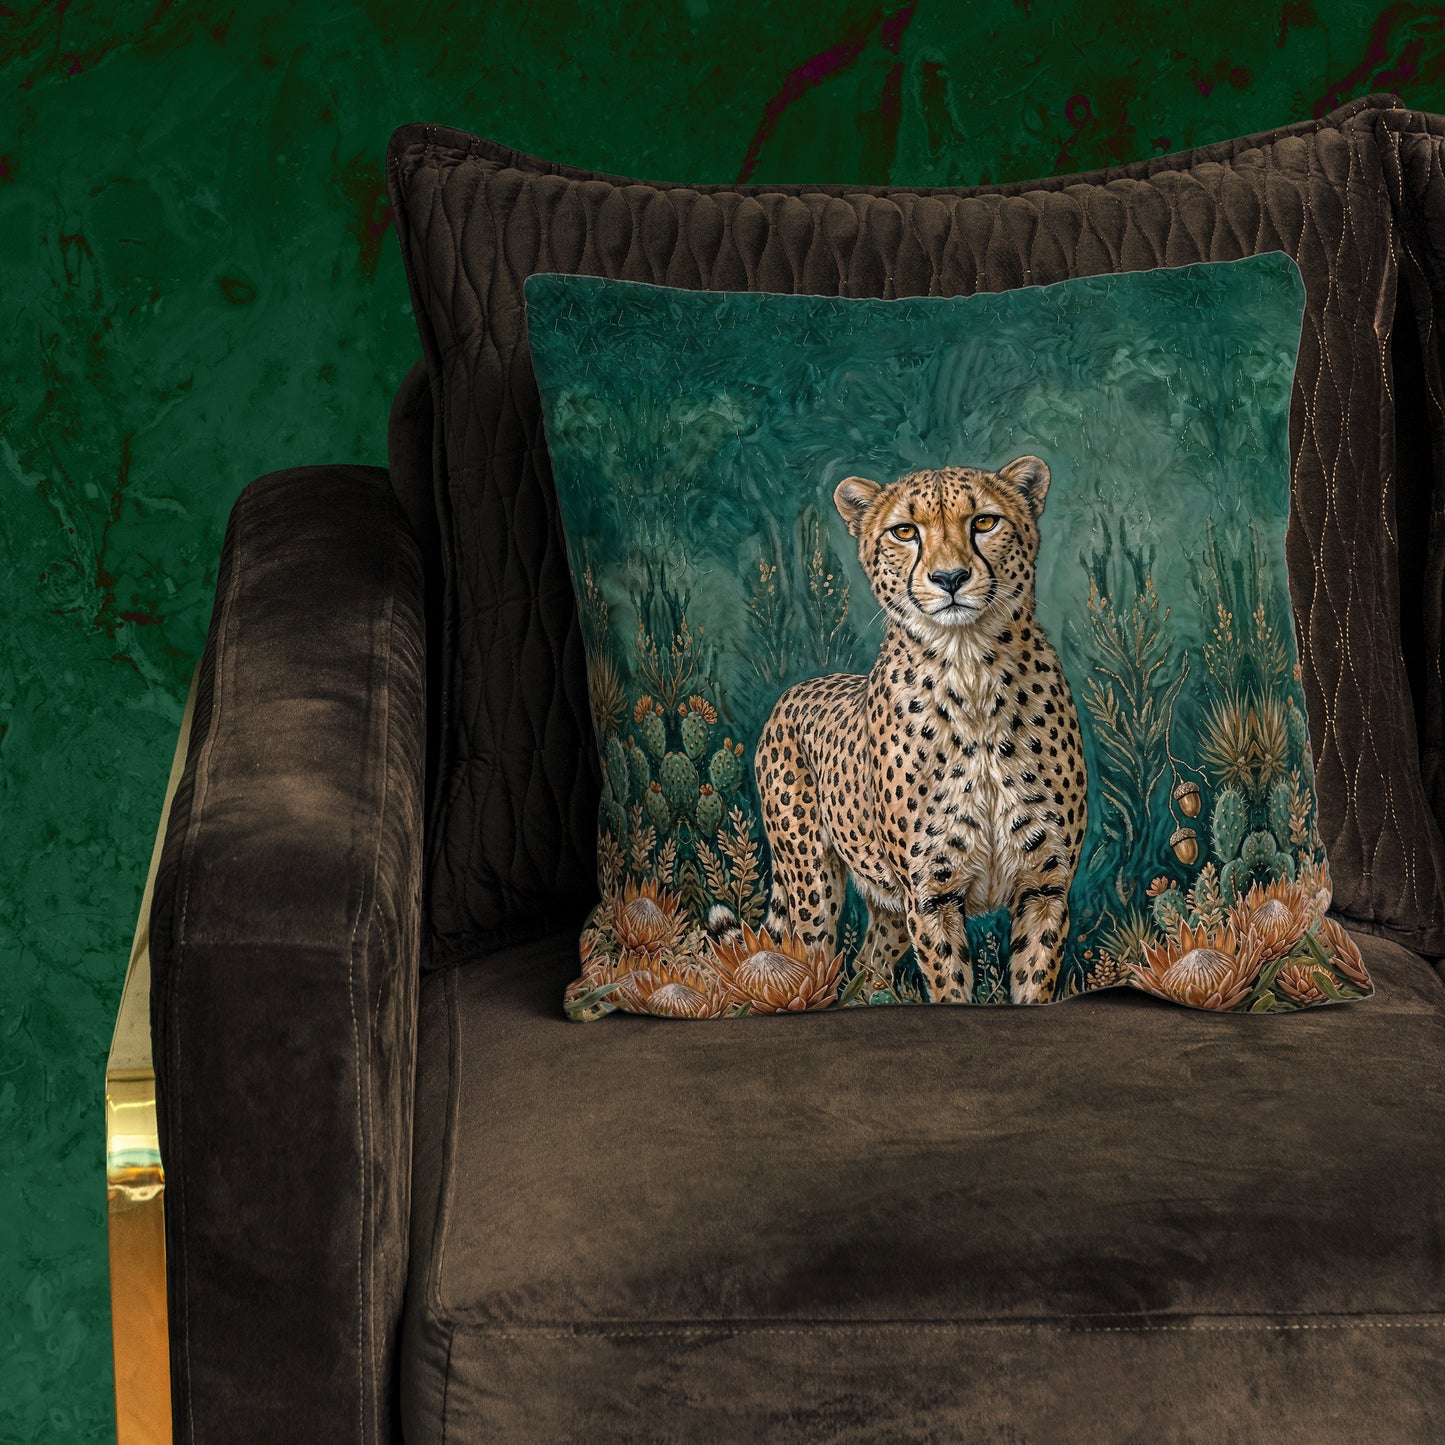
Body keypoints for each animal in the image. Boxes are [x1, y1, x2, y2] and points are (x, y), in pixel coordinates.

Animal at [751, 456, 1087, 1005]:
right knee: (809, 959)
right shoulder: (930, 895)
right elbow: (950, 989)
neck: (971, 669)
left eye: (984, 522)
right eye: (905, 531)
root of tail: (795, 689)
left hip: (884, 904)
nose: (950, 577)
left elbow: (1032, 984)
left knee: (868, 965)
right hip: (811, 883)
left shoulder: (1045, 886)